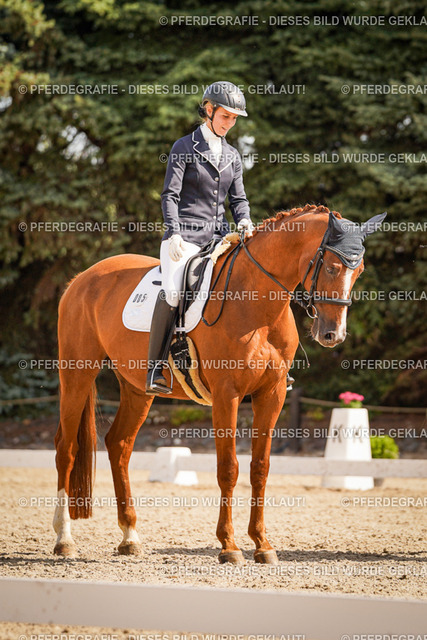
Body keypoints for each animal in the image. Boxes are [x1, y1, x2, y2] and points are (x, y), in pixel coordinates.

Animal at [53, 204, 385, 564]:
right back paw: (64, 539)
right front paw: (229, 546)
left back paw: (130, 537)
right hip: (77, 373)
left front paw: (262, 544)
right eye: (333, 267)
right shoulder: (228, 395)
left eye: (359, 270)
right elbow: (228, 468)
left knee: (119, 445)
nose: (332, 334)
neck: (258, 303)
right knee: (66, 449)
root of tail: (82, 278)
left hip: (137, 388)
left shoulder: (272, 395)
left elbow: (260, 467)